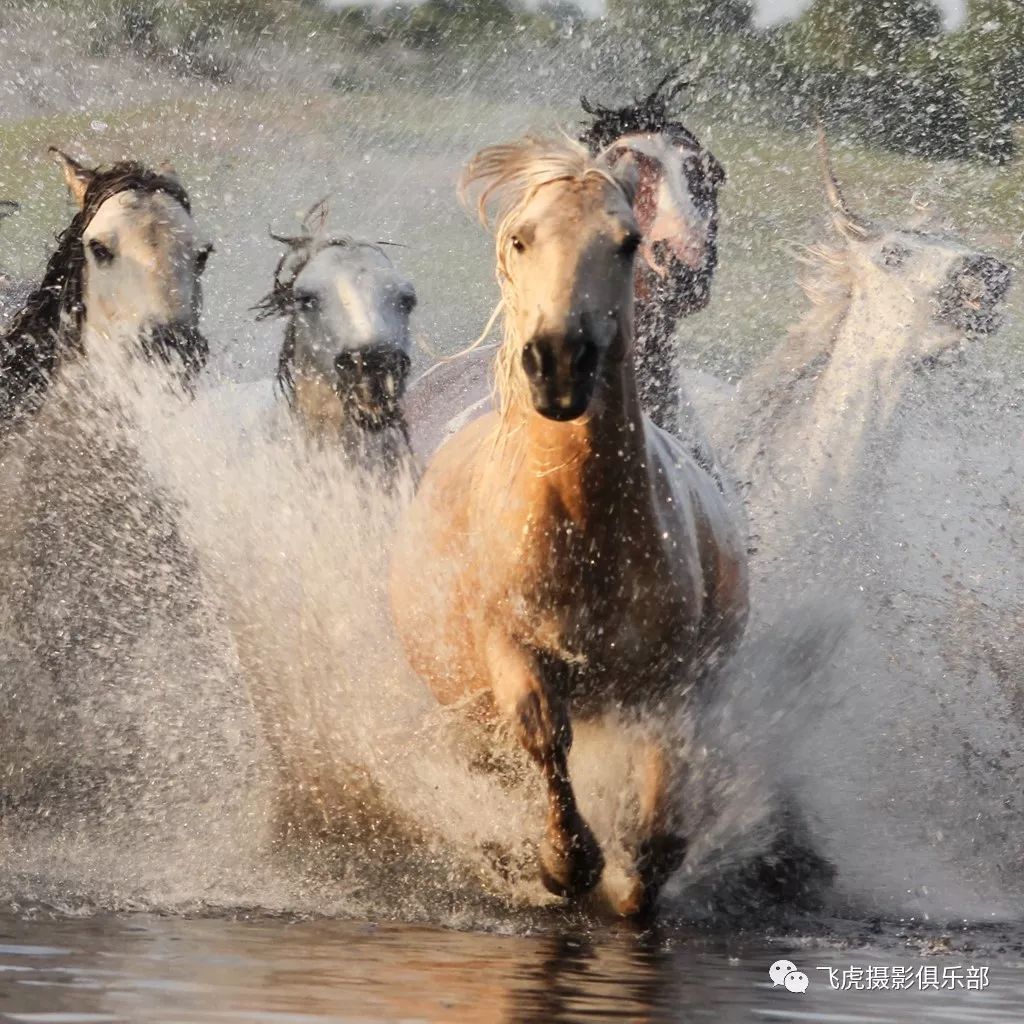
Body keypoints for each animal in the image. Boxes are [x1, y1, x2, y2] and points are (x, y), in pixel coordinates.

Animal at [387, 134, 749, 913]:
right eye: (521, 239)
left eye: (625, 242)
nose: (558, 363)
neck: (582, 526)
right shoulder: (509, 644)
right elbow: (542, 732)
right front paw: (566, 863)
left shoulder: (670, 682)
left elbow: (659, 808)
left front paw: (632, 872)